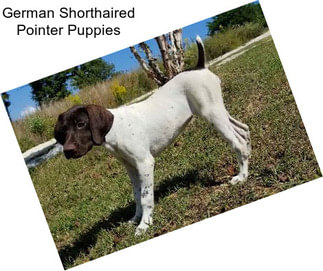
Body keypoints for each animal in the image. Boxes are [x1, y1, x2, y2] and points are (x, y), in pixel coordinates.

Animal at [54, 36, 252, 236]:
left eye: (80, 124)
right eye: (62, 131)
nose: (68, 151)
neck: (115, 129)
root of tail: (200, 67)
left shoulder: (145, 163)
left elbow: (145, 196)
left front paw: (144, 224)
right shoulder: (131, 167)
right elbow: (136, 194)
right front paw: (135, 218)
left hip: (212, 115)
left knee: (238, 142)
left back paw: (242, 177)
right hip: (219, 113)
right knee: (244, 130)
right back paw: (249, 157)